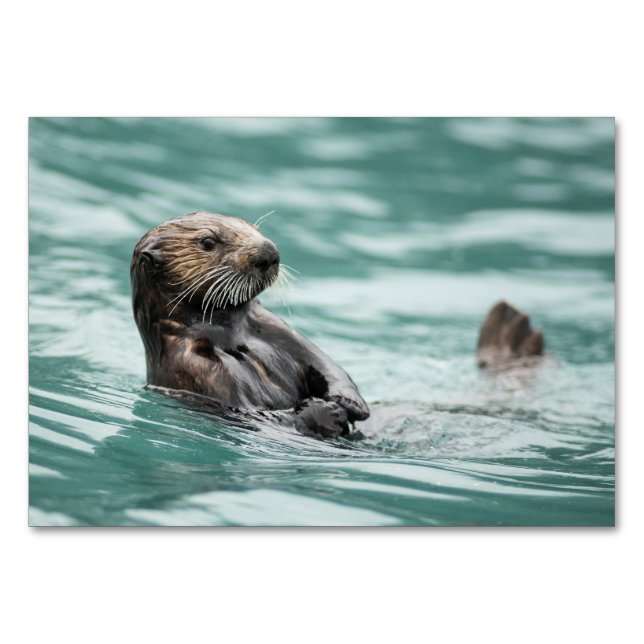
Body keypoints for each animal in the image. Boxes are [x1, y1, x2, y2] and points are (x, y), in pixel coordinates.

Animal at [131, 211, 544, 439]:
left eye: (251, 226)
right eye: (208, 241)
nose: (269, 252)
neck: (233, 336)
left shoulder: (276, 328)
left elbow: (328, 365)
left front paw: (348, 402)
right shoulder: (196, 369)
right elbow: (257, 414)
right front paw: (325, 413)